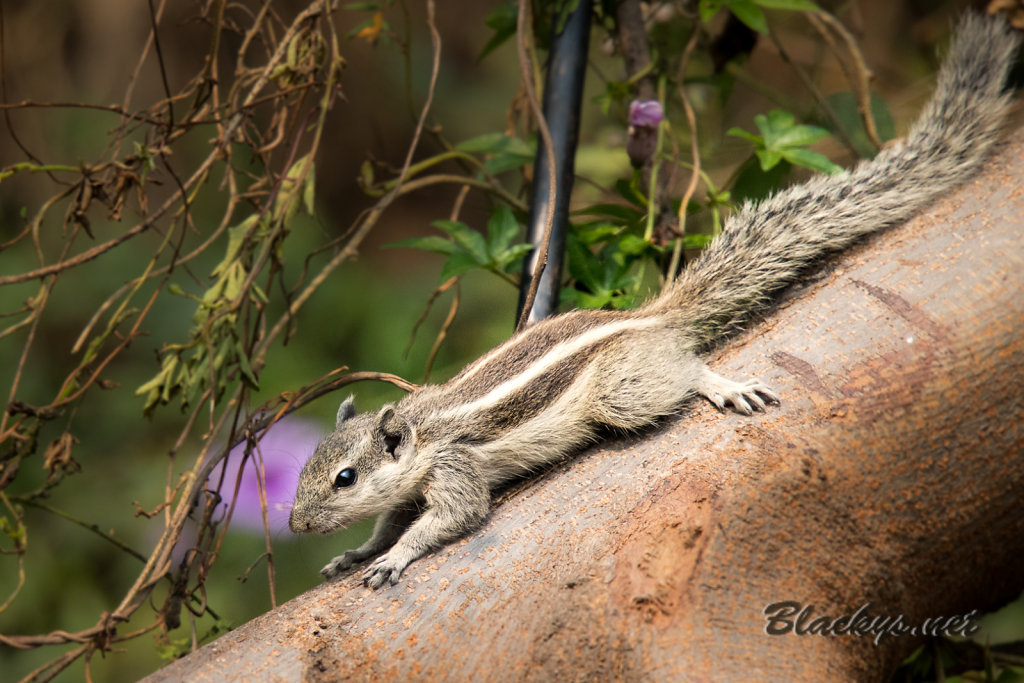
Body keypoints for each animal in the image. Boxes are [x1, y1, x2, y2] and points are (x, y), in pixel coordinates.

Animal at [286, 14, 1015, 593]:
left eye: (344, 477)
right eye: (310, 470)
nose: (294, 523)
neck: (421, 433)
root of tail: (645, 317)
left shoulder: (457, 468)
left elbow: (452, 519)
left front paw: (396, 558)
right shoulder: (414, 485)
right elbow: (389, 522)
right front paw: (358, 551)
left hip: (623, 390)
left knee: (685, 369)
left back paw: (720, 386)